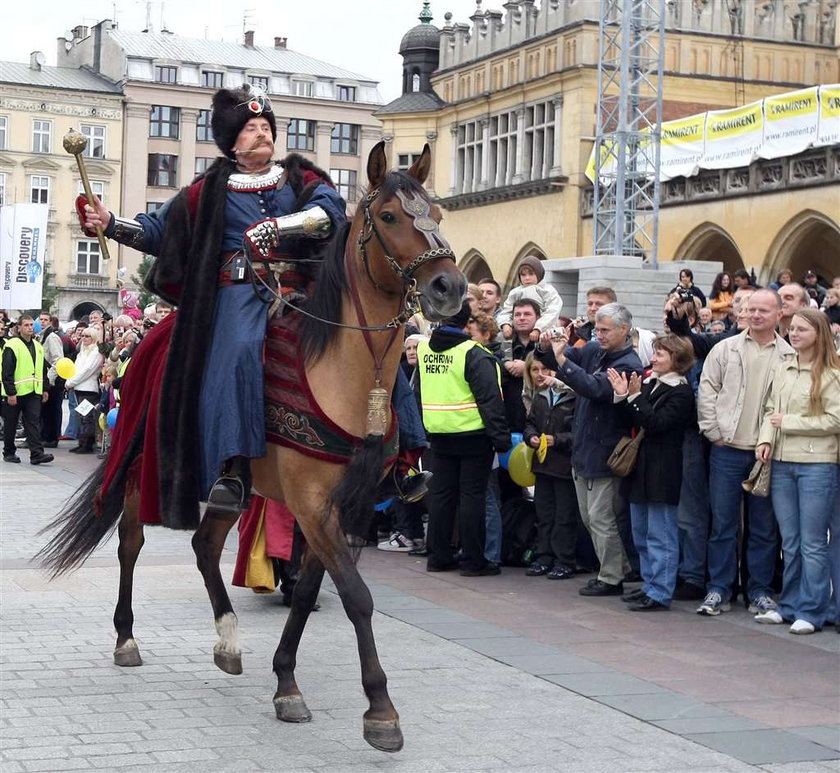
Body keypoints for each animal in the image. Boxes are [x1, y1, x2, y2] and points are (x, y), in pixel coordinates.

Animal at [37, 142, 466, 752]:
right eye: (388, 216)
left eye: (438, 212)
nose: (449, 289)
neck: (344, 373)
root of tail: (153, 336)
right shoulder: (311, 505)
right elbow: (357, 597)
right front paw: (381, 711)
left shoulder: (346, 507)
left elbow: (311, 592)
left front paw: (286, 682)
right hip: (149, 464)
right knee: (131, 542)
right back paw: (126, 639)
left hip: (232, 485)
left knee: (203, 547)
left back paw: (228, 642)